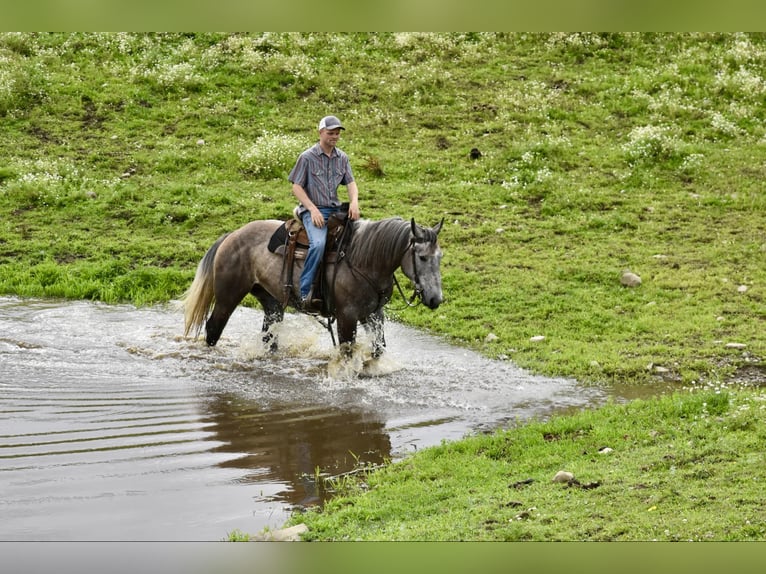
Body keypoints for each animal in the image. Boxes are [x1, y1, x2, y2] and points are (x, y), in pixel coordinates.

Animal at [181, 215, 444, 360]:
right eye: (422, 257)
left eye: (439, 256)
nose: (436, 299)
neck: (363, 260)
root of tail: (232, 235)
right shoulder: (347, 317)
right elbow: (347, 351)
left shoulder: (373, 314)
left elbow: (379, 348)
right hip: (228, 297)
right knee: (213, 329)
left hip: (271, 302)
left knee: (269, 335)